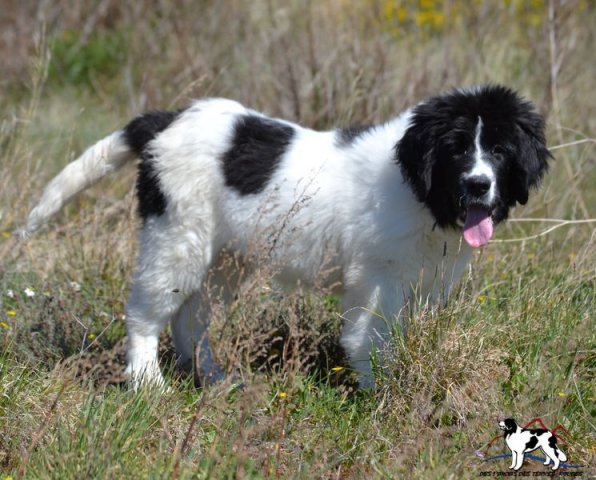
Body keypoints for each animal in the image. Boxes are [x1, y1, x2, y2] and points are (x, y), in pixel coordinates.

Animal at [20, 85, 550, 389]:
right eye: (457, 150)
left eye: (499, 152)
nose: (478, 184)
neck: (421, 191)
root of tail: (169, 119)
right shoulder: (377, 279)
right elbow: (371, 340)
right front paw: (380, 394)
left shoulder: (428, 281)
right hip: (177, 237)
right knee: (146, 314)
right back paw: (149, 383)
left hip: (226, 258)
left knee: (192, 318)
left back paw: (213, 379)